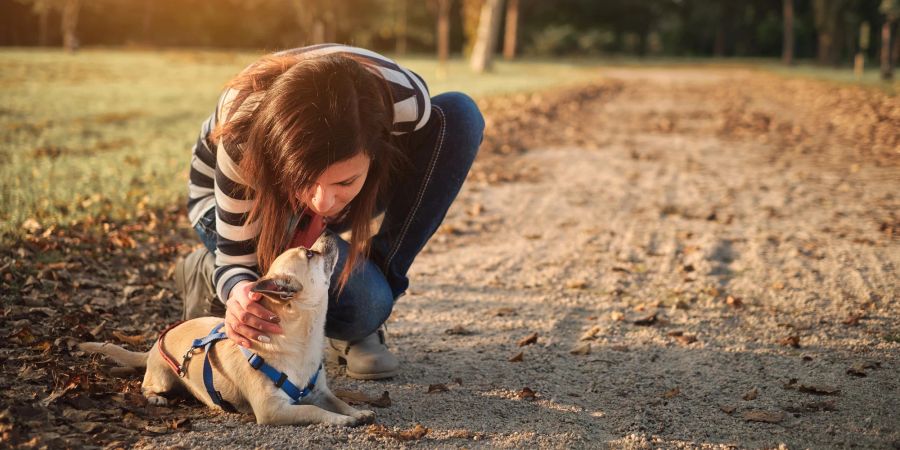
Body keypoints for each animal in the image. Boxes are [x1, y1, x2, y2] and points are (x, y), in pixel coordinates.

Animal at [77, 234, 372, 428]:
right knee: (145, 385)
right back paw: (155, 398)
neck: (302, 341)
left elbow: (336, 400)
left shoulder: (320, 392)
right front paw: (341, 420)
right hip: (162, 379)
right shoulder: (272, 410)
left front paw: (356, 412)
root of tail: (153, 346)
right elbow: (312, 410)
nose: (328, 233)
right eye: (309, 253)